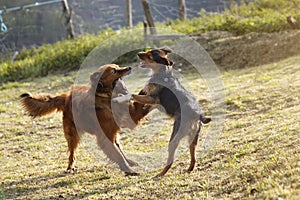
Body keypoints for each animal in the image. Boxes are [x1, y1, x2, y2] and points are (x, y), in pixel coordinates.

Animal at [19, 63, 150, 175]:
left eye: (118, 66)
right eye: (114, 71)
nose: (129, 68)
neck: (107, 99)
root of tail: (66, 97)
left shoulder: (129, 117)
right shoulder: (105, 137)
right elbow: (117, 155)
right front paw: (128, 170)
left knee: (118, 146)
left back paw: (129, 160)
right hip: (73, 135)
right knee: (72, 154)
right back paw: (70, 167)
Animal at [131, 48, 211, 177]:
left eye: (149, 56)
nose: (138, 54)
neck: (162, 72)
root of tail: (198, 115)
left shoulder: (153, 98)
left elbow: (133, 95)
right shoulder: (155, 102)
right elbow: (146, 105)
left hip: (174, 137)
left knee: (171, 159)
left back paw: (161, 173)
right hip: (193, 139)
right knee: (193, 156)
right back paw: (189, 168)